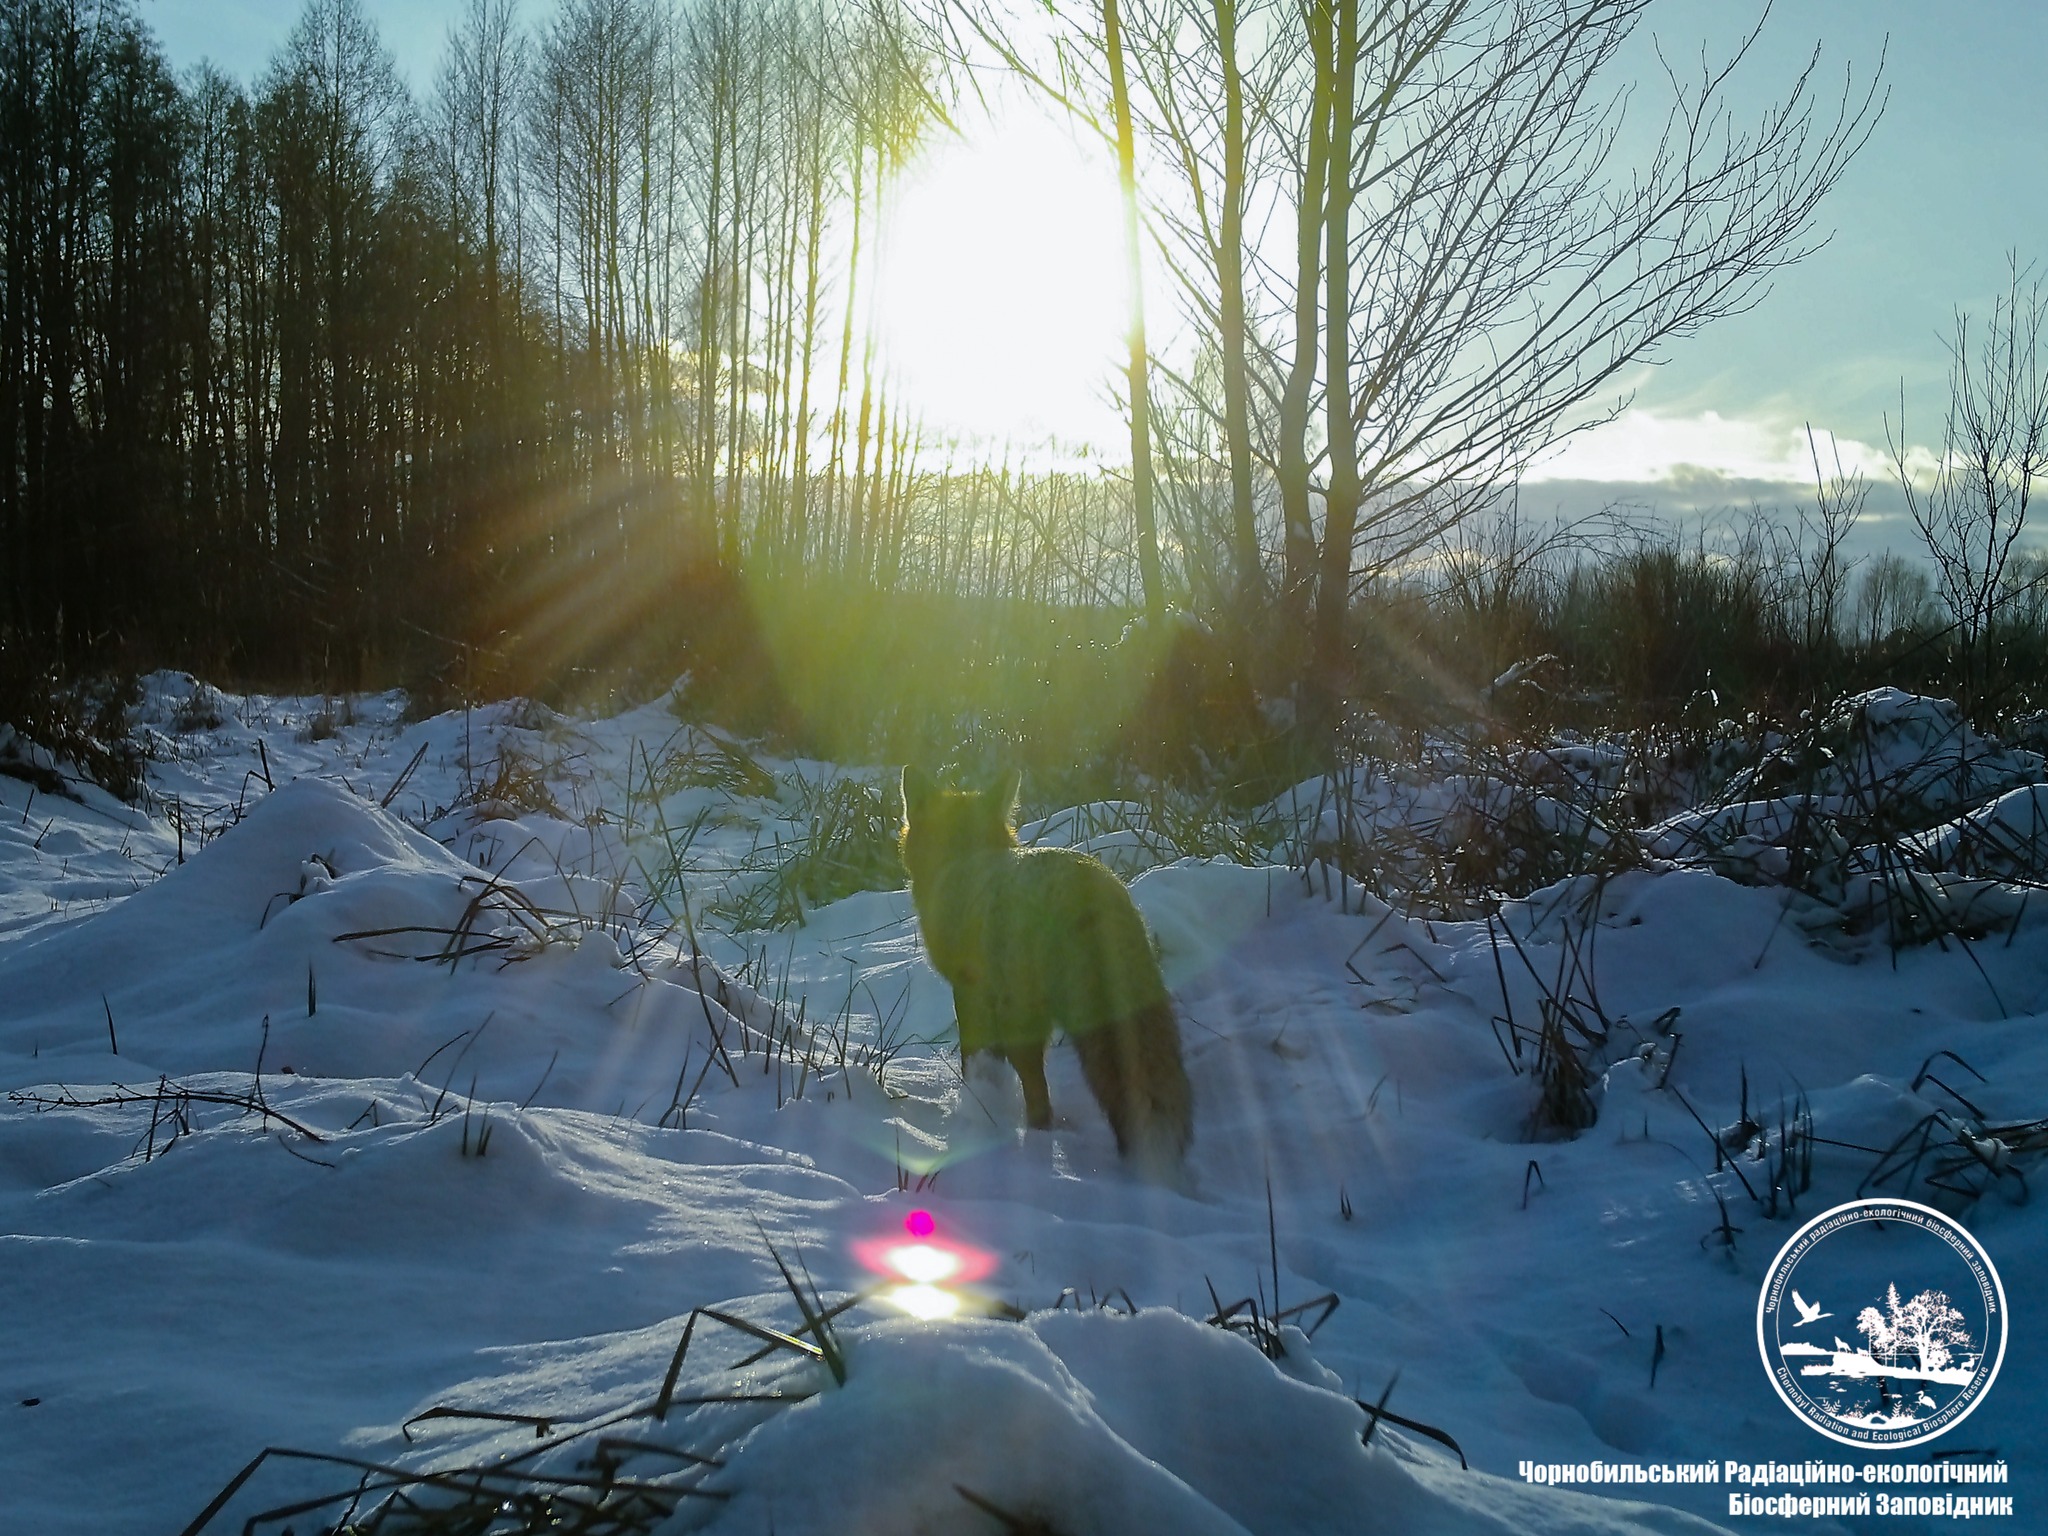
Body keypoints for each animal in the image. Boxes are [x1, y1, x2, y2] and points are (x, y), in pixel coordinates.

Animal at [901, 765, 1196, 1171]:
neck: (964, 858)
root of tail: (1084, 891)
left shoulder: (970, 991)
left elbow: (973, 1058)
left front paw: (978, 1106)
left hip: (1024, 1016)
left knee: (1039, 1096)